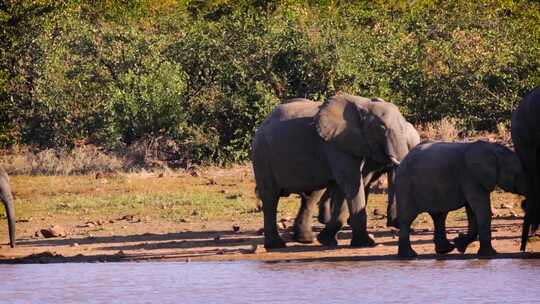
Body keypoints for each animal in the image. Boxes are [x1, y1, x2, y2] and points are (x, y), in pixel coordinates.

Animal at [392, 140, 528, 256]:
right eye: (517, 173)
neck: (493, 149)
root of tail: (403, 160)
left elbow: (473, 212)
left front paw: (459, 244)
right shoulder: (471, 176)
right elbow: (481, 210)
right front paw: (490, 254)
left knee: (439, 216)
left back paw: (445, 250)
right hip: (405, 185)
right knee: (408, 218)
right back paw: (409, 255)